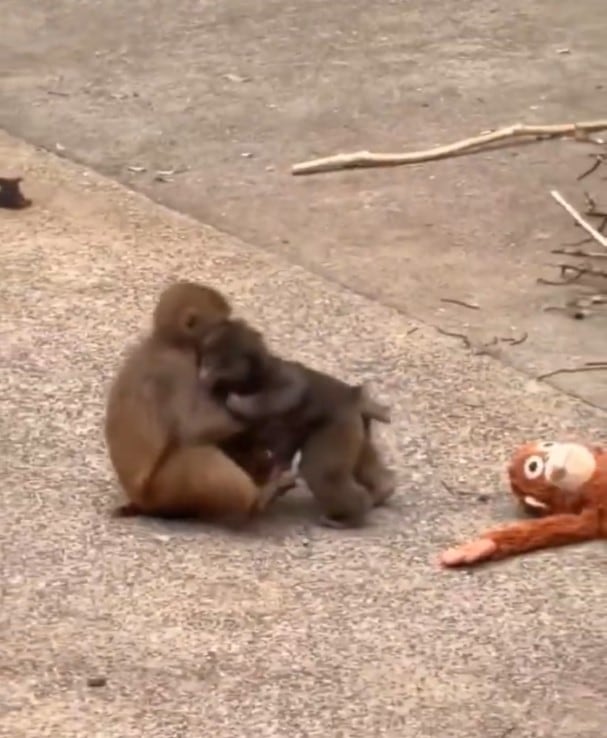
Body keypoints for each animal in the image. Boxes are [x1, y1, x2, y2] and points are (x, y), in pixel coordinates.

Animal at [104, 281, 293, 525]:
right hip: (166, 490)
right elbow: (194, 428)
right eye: (222, 322)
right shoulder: (179, 370)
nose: (232, 327)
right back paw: (259, 501)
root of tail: (139, 501)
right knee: (196, 451)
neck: (169, 343)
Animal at [197, 318, 396, 528]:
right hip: (355, 427)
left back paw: (351, 515)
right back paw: (383, 488)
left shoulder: (277, 376)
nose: (204, 373)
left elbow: (292, 389)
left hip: (336, 426)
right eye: (207, 359)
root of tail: (353, 398)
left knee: (321, 472)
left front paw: (237, 402)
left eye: (217, 363)